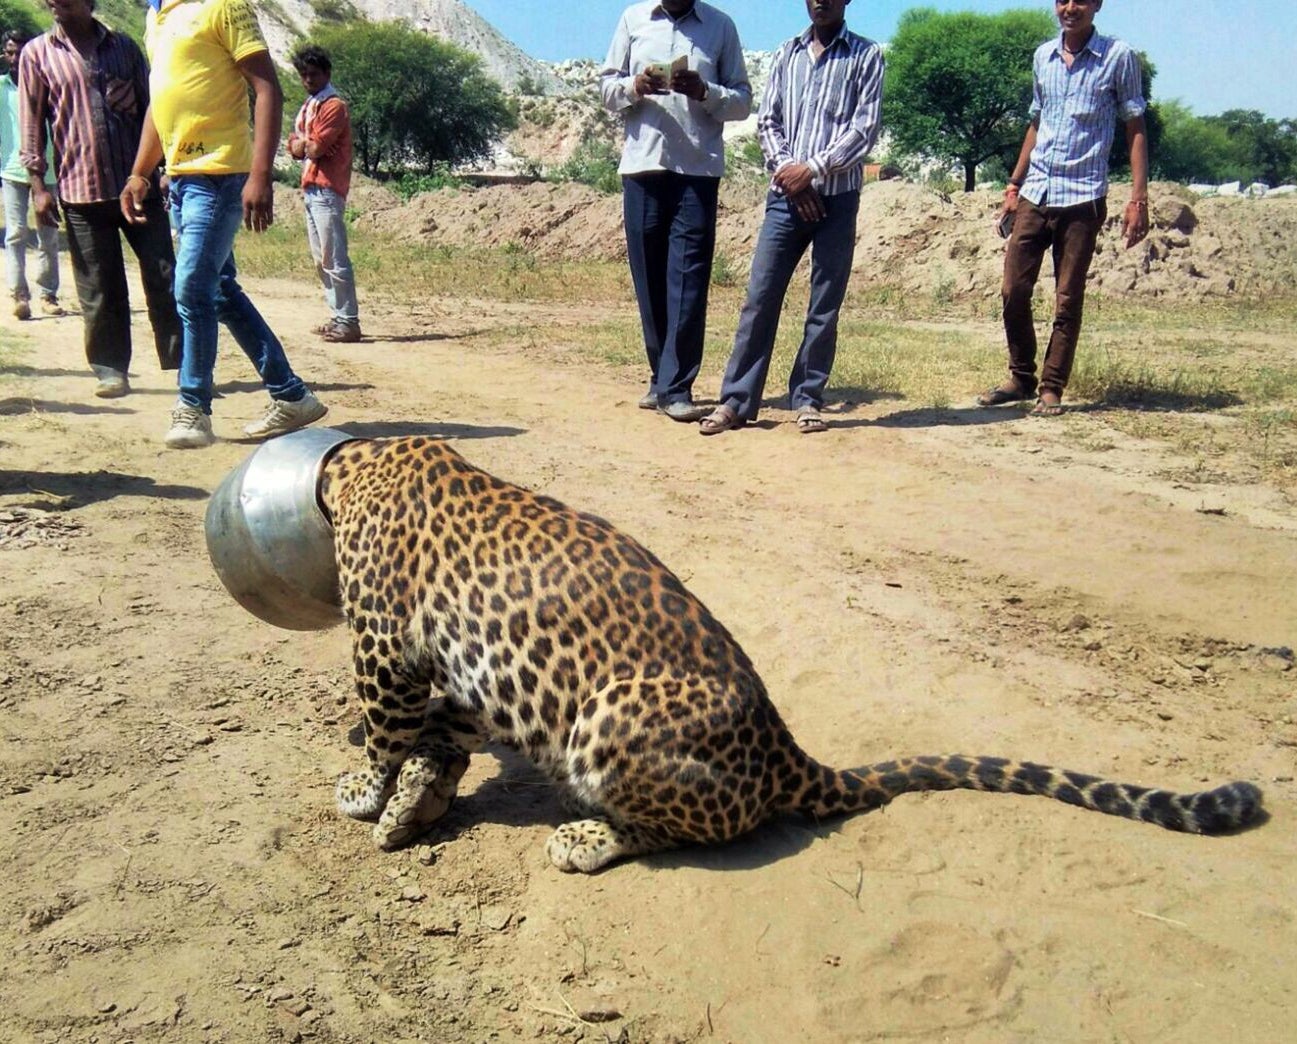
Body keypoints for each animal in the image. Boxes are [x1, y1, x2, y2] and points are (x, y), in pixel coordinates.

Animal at [313, 433, 1265, 871]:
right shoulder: (464, 674)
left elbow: (382, 727)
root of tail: (784, 750)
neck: (362, 460)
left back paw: (585, 837)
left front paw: (366, 789)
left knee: (681, 830)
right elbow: (439, 727)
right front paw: (415, 791)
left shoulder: (382, 645)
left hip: (612, 716)